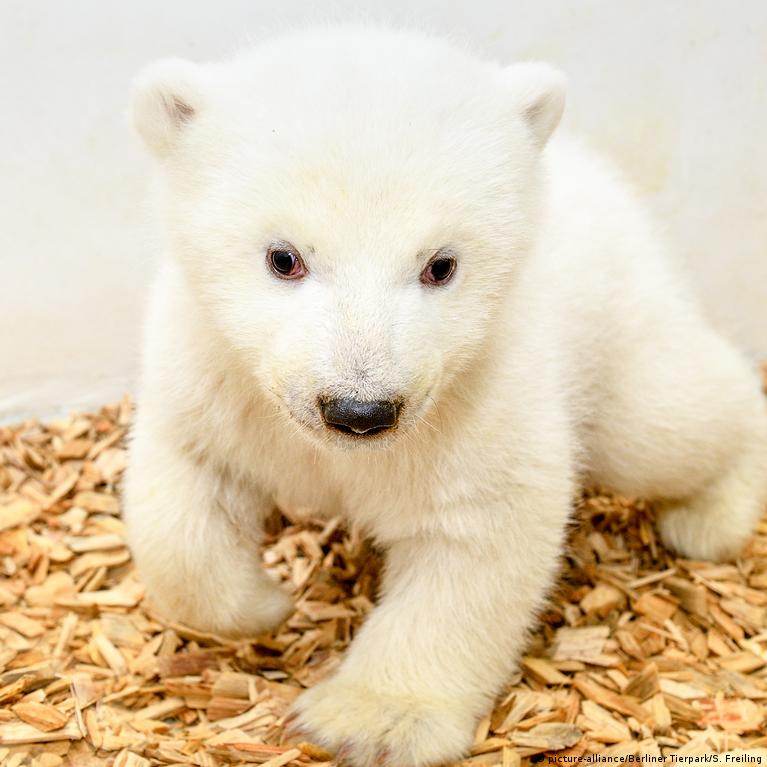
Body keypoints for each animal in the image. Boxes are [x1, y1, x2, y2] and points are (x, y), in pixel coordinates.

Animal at [124, 25, 767, 767]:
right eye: (283, 257)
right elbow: (185, 492)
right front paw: (264, 602)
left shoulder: (482, 391)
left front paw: (372, 719)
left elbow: (475, 538)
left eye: (440, 264)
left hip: (613, 324)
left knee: (666, 421)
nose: (359, 410)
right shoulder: (214, 371)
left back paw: (713, 514)